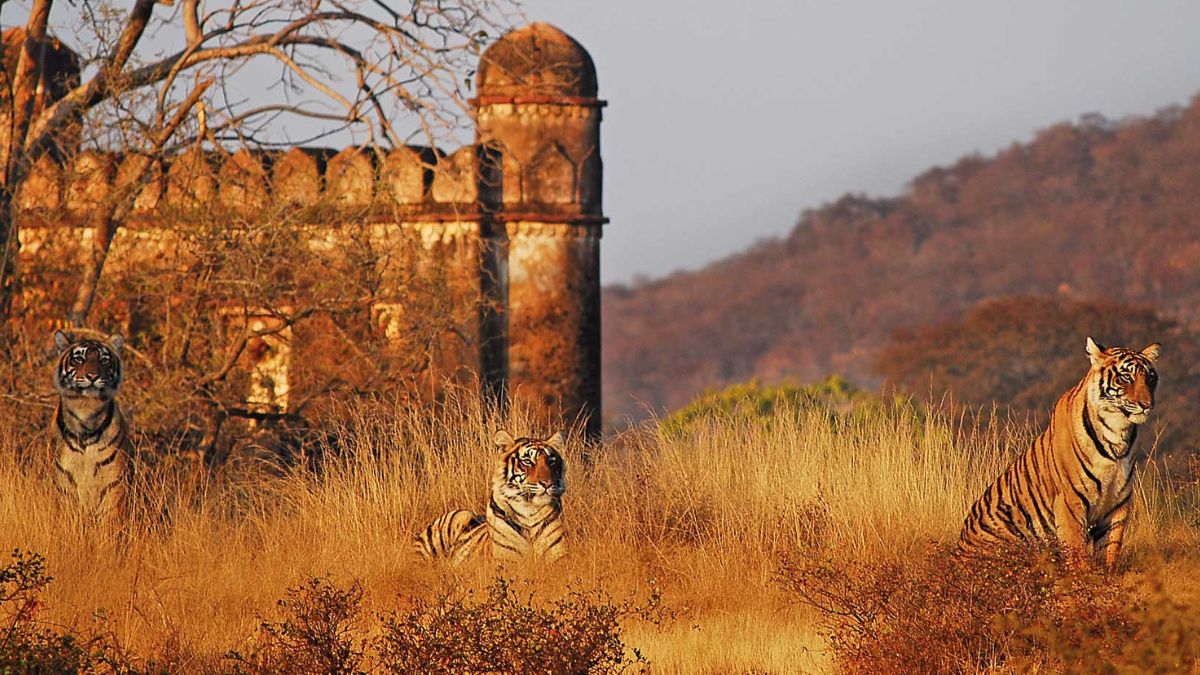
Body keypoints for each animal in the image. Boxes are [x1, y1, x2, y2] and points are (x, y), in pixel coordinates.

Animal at [50, 330, 131, 529]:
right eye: (79, 359)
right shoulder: (65, 483)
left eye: (104, 360)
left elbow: (109, 526)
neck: (86, 411)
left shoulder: (113, 484)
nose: (93, 376)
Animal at [415, 430, 567, 565]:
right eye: (528, 461)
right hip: (458, 517)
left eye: (551, 462)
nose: (547, 483)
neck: (529, 512)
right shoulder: (506, 562)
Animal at [958, 337, 1160, 568]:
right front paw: (1083, 576)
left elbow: (1110, 549)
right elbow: (1077, 550)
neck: (1118, 432)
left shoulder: (1118, 502)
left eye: (1150, 378)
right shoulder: (1070, 501)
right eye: (1126, 377)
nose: (1146, 405)